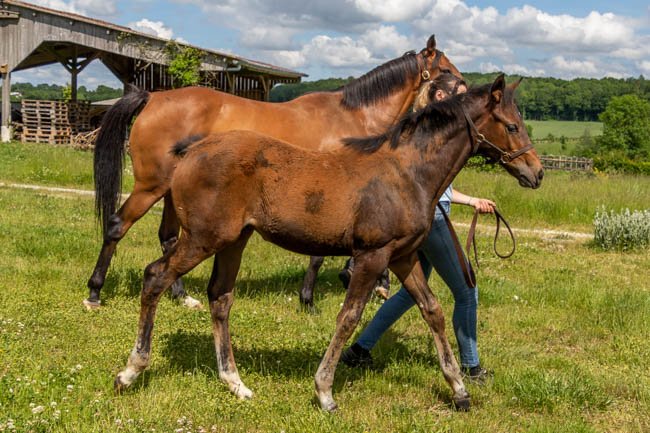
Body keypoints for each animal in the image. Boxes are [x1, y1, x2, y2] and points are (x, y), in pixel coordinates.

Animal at [86, 35, 462, 311]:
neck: (350, 118)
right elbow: (318, 256)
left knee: (168, 238)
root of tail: (152, 98)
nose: (462, 88)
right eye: (445, 68)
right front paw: (310, 299)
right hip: (150, 186)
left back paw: (182, 296)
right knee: (117, 226)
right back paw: (94, 292)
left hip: (171, 193)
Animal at [114, 75, 544, 412]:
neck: (407, 172)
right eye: (511, 125)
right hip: (203, 238)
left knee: (220, 297)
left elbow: (432, 310)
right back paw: (131, 370)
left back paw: (235, 382)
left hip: (233, 240)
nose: (536, 172)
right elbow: (349, 317)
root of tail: (190, 150)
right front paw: (324, 392)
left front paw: (459, 390)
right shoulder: (372, 255)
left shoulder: (402, 256)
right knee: (155, 277)